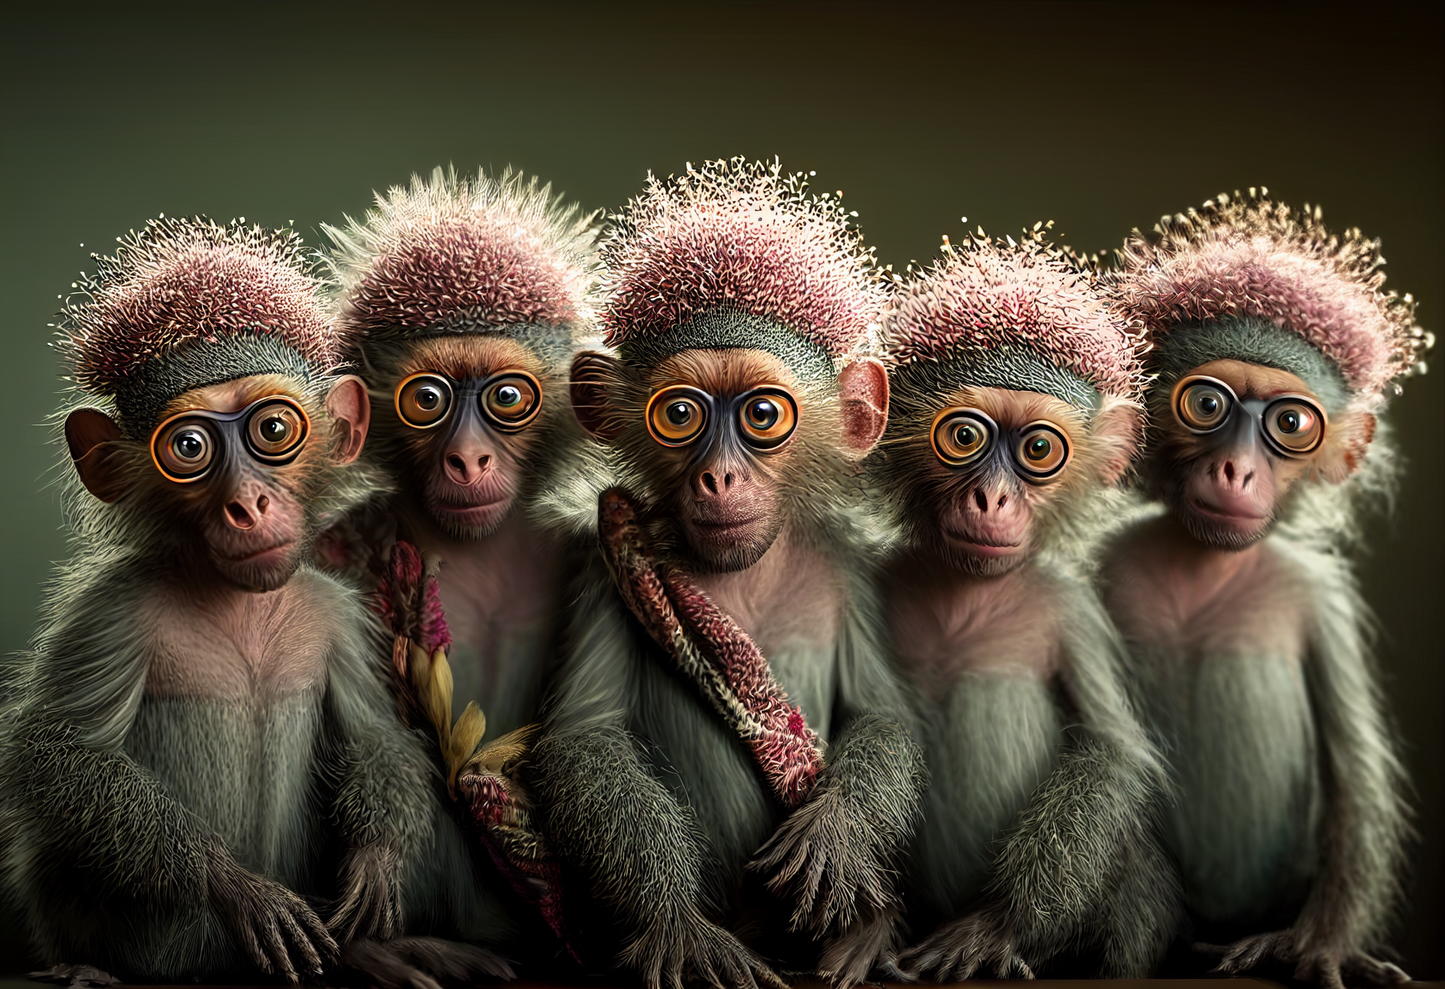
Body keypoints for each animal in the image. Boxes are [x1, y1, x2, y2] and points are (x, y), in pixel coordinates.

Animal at [0, 216, 467, 983]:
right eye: (188, 447)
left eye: (273, 430)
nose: (246, 504)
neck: (238, 601)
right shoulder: (110, 612)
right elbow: (59, 754)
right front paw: (235, 884)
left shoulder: (337, 611)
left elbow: (376, 735)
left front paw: (376, 865)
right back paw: (90, 965)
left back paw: (374, 951)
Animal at [532, 158, 928, 989]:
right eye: (679, 415)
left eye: (762, 415)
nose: (719, 477)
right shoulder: (601, 566)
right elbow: (583, 737)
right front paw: (674, 924)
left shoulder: (850, 567)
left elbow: (884, 712)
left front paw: (837, 832)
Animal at [866, 229, 1178, 980]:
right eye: (964, 437)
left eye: (1037, 448)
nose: (991, 499)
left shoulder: (1071, 607)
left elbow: (1108, 749)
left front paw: (998, 929)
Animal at [1100, 190, 1433, 988]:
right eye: (1207, 407)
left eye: (1289, 422)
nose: (1236, 470)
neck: (1205, 567)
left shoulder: (1320, 596)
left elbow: (1356, 775)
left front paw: (1319, 946)